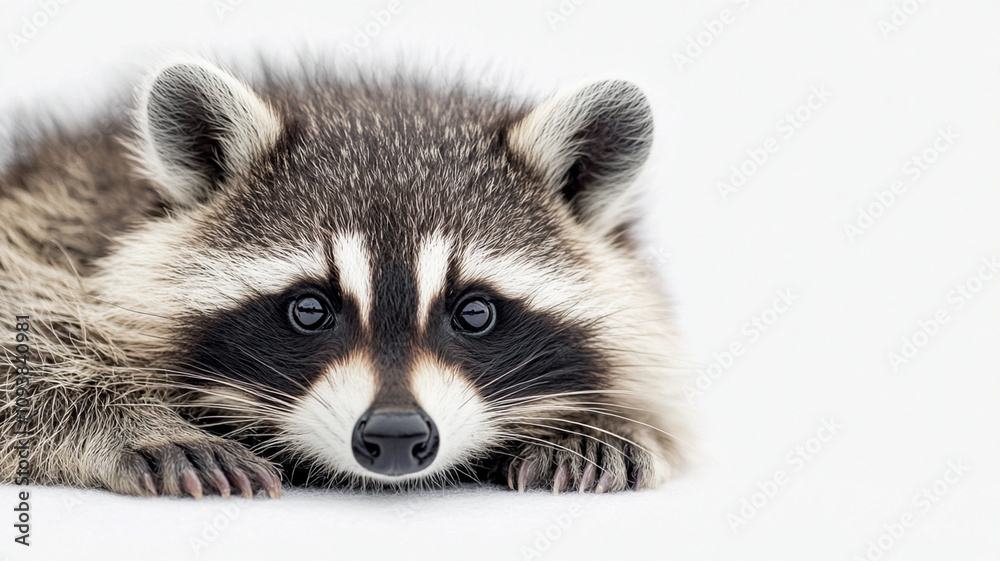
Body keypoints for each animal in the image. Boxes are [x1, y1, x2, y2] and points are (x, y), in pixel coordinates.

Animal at [0, 56, 690, 498]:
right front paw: (133, 418)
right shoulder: (57, 220)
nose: (395, 433)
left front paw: (608, 419)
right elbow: (23, 344)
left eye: (474, 312)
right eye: (310, 309)